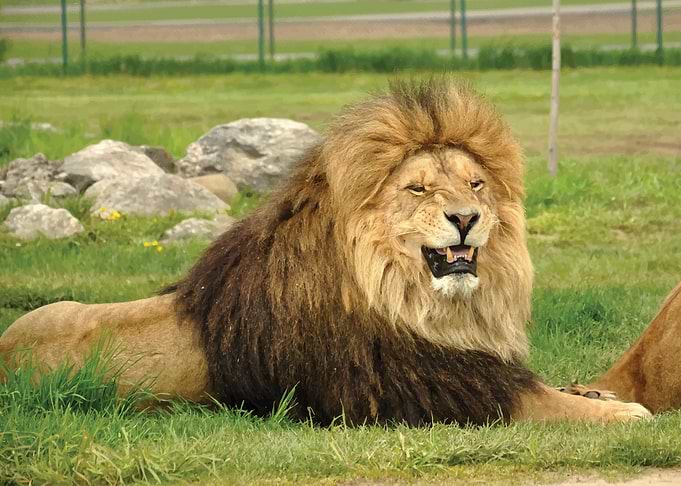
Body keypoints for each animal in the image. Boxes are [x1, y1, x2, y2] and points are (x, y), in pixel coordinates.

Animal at [0, 79, 650, 424]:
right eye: (417, 189)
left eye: (475, 185)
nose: (466, 219)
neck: (415, 300)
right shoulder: (432, 392)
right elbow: (544, 400)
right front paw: (621, 413)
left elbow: (555, 387)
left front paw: (595, 391)